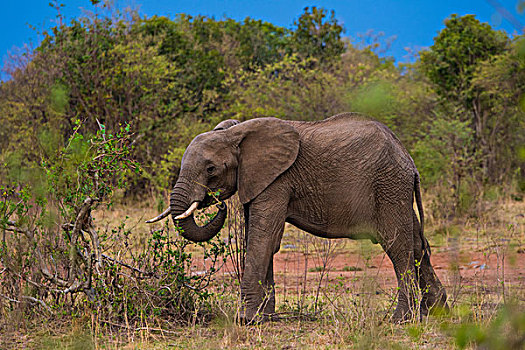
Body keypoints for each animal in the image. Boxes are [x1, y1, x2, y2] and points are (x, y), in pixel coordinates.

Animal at [146, 113, 446, 322]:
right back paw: (437, 312)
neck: (236, 133)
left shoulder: (278, 180)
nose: (218, 203)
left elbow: (263, 239)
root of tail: (409, 159)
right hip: (396, 188)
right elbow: (259, 239)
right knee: (418, 245)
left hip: (388, 185)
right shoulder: (259, 180)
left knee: (398, 246)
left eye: (210, 169)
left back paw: (401, 320)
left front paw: (245, 319)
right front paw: (264, 318)